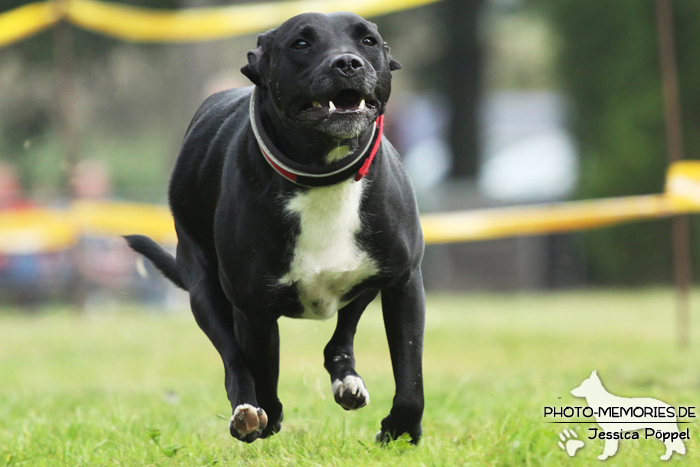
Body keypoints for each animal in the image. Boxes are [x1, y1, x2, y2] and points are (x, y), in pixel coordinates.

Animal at [127, 11, 426, 446]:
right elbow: (260, 368)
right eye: (300, 43)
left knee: (339, 339)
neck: (322, 176)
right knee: (233, 359)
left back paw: (346, 380)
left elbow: (409, 372)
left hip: (364, 283)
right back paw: (247, 412)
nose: (348, 63)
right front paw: (267, 417)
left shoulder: (403, 282)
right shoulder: (254, 309)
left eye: (368, 40)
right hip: (204, 290)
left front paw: (402, 429)